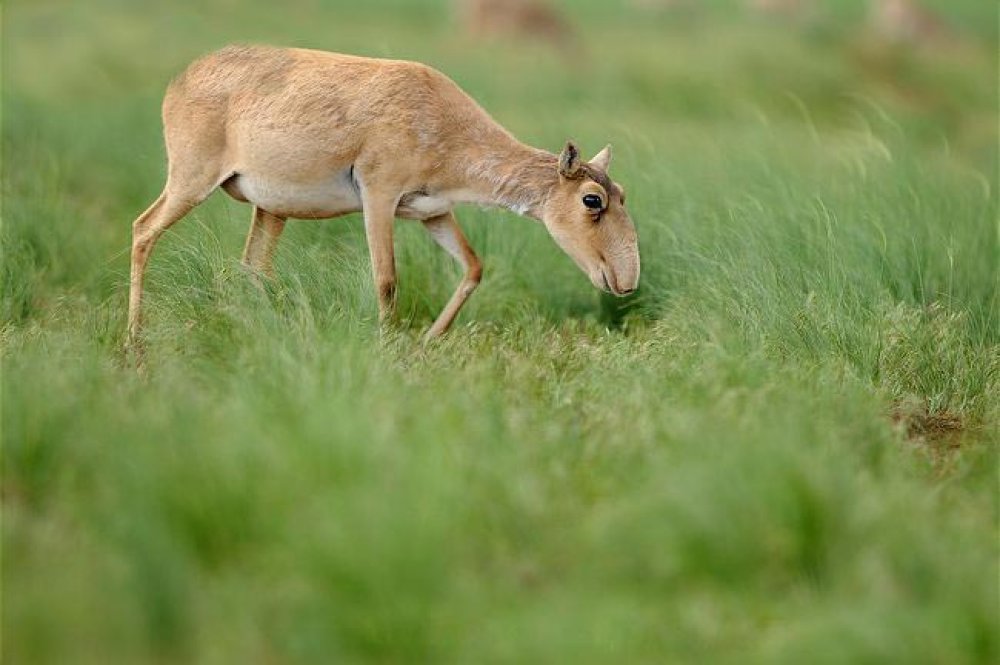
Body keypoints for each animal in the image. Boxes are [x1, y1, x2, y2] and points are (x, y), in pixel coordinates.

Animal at [127, 45, 640, 348]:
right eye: (592, 200)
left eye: (621, 193)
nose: (626, 280)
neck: (445, 124)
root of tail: (180, 80)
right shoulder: (379, 197)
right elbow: (387, 279)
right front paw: (388, 349)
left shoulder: (434, 213)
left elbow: (473, 267)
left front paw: (429, 341)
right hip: (190, 180)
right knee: (143, 230)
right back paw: (134, 342)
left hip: (270, 210)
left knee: (252, 267)